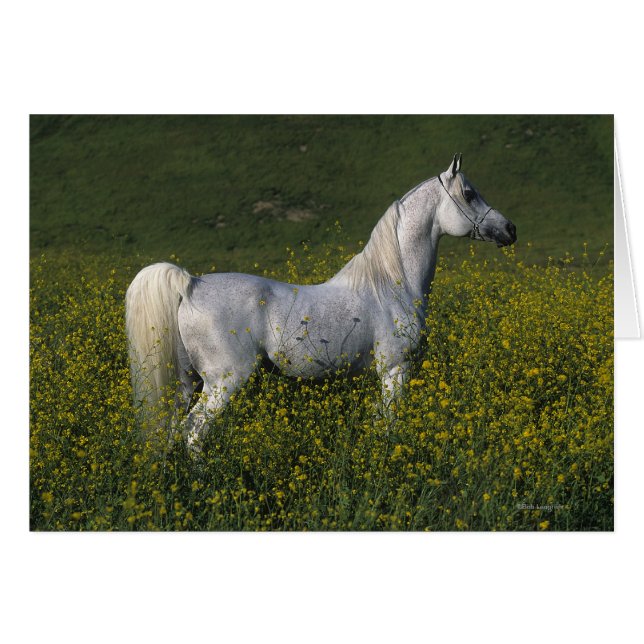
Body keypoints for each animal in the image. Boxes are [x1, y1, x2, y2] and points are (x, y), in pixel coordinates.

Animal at [125, 154, 516, 449]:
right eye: (469, 194)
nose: (510, 229)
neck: (392, 284)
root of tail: (190, 284)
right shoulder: (395, 369)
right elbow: (389, 425)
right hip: (223, 381)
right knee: (193, 432)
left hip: (186, 384)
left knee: (173, 430)